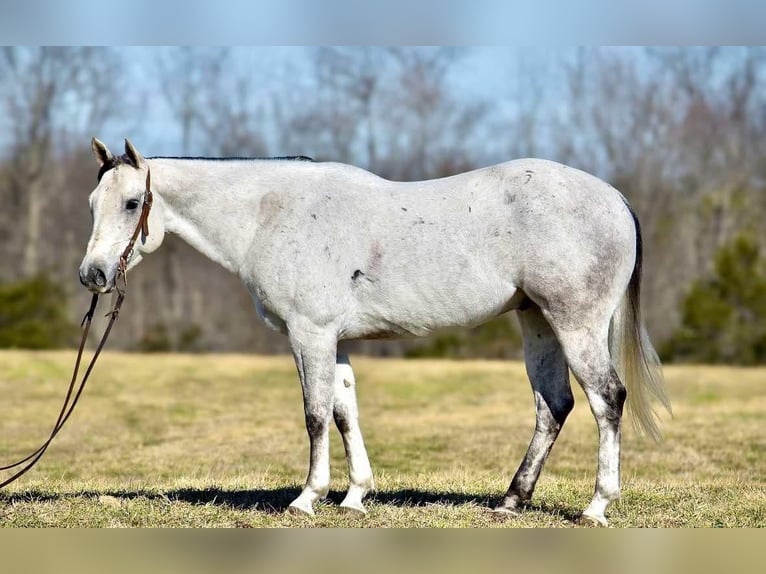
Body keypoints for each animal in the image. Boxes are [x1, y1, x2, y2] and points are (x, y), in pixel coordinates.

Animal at [79, 140, 672, 528]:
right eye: (91, 205)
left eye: (132, 203)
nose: (94, 275)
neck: (272, 212)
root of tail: (615, 198)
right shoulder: (334, 340)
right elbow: (345, 411)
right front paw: (354, 496)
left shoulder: (310, 334)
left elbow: (316, 414)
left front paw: (308, 498)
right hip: (538, 322)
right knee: (553, 405)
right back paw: (510, 501)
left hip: (575, 324)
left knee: (606, 399)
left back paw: (596, 506)